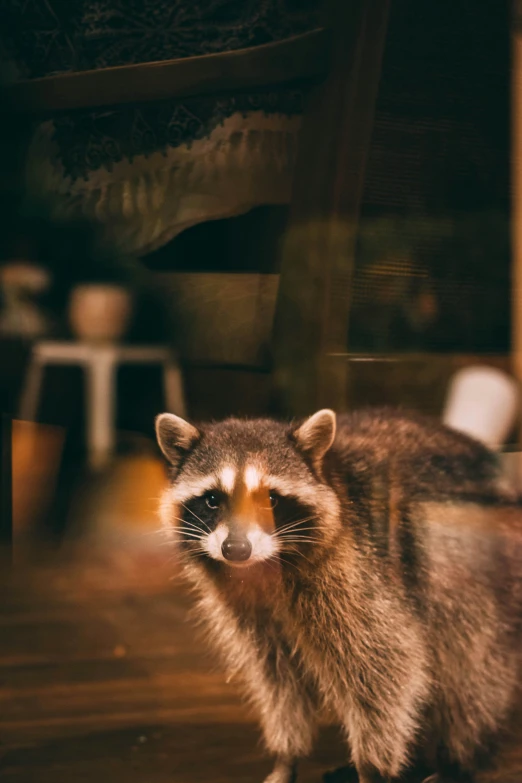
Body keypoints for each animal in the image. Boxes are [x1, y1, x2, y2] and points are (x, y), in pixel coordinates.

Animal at [153, 408, 520, 780]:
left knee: (471, 668)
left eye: (270, 499)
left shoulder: (359, 573)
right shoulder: (253, 611)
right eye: (213, 499)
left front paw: (371, 768)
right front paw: (287, 754)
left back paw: (459, 758)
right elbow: (278, 680)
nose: (236, 550)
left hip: (480, 576)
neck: (265, 568)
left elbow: (389, 666)